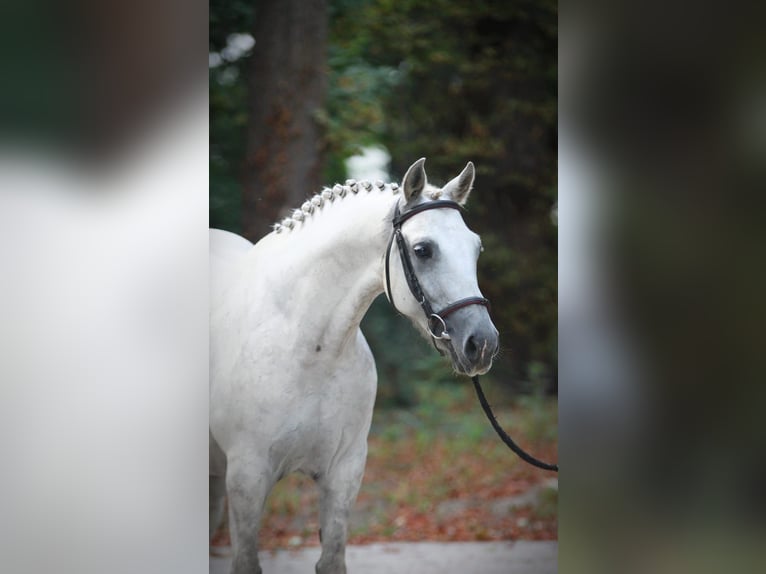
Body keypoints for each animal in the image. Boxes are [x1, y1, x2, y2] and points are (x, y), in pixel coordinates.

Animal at [210, 159, 500, 574]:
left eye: (476, 248)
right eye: (423, 250)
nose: (482, 344)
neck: (309, 349)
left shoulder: (344, 472)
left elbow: (332, 560)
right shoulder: (247, 477)